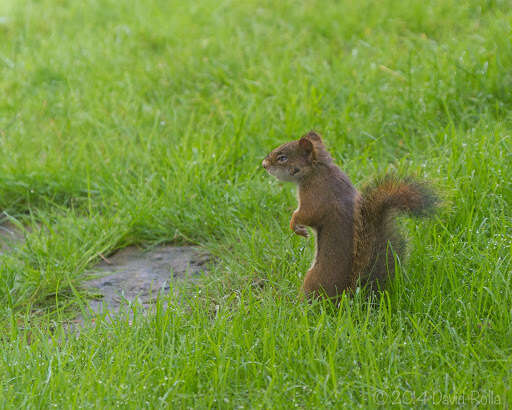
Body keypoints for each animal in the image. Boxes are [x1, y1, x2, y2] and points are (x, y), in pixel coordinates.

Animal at [264, 131, 436, 302]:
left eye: (282, 158)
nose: (264, 165)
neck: (317, 169)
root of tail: (348, 294)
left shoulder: (316, 194)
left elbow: (308, 214)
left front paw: (294, 224)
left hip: (312, 280)